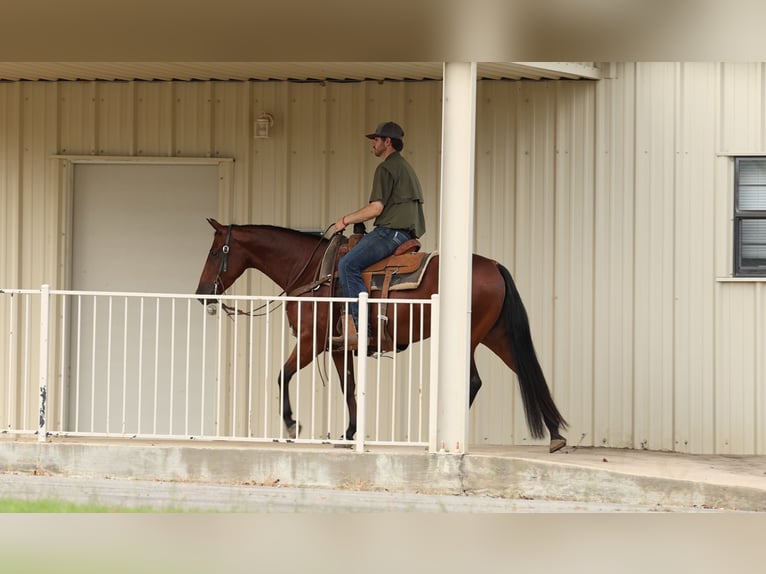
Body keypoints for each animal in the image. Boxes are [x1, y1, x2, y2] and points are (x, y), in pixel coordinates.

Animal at [195, 218, 568, 453]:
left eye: (214, 252)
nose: (201, 294)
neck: (313, 271)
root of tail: (493, 266)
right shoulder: (337, 348)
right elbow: (348, 387)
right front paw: (349, 434)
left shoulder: (310, 342)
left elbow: (282, 374)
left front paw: (290, 424)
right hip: (495, 335)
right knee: (527, 373)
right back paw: (555, 435)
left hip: (472, 336)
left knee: (475, 381)